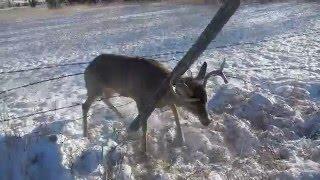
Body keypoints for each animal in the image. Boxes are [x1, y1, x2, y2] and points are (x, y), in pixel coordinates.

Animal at [82, 53, 228, 152]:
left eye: (206, 98)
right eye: (192, 103)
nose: (207, 120)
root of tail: (87, 68)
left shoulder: (165, 101)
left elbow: (176, 113)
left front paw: (181, 140)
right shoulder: (140, 99)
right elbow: (144, 124)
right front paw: (144, 152)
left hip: (108, 89)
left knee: (106, 100)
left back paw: (122, 117)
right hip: (94, 86)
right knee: (85, 105)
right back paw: (85, 135)